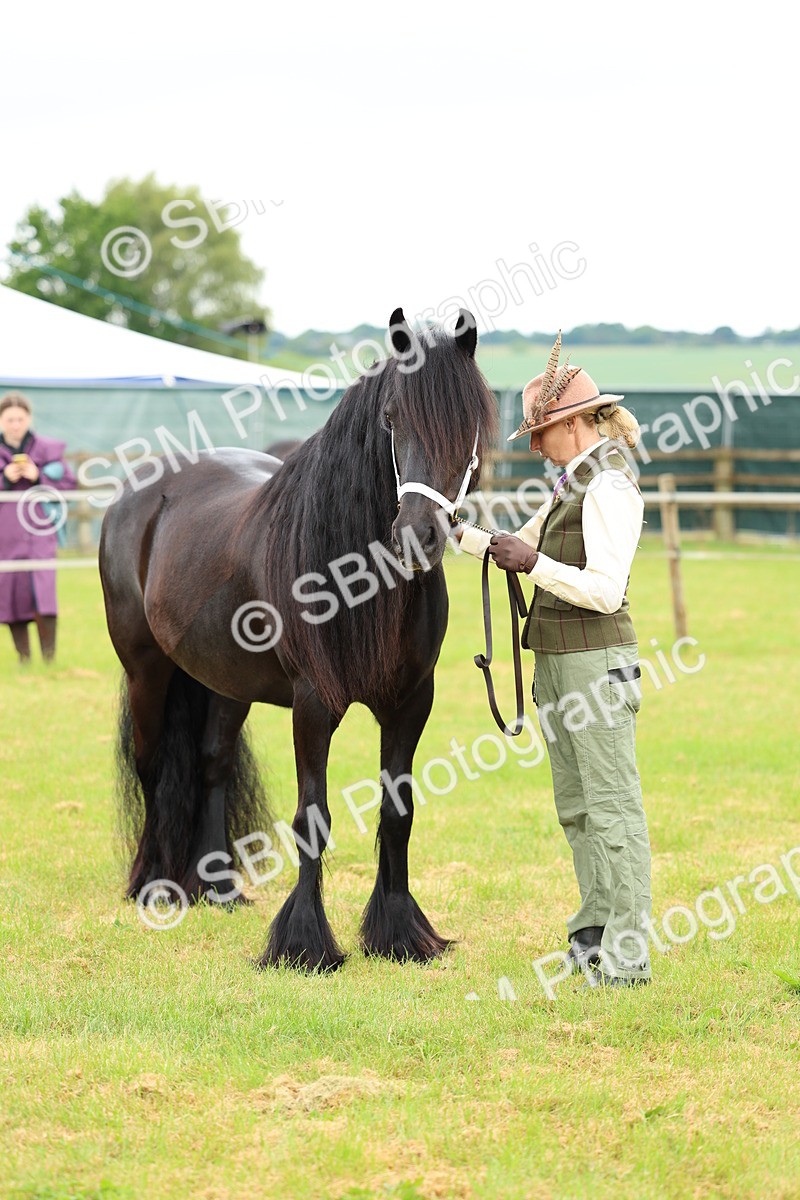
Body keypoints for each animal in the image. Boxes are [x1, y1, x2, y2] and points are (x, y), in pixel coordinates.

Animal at [99, 308, 498, 971]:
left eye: (469, 423)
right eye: (391, 417)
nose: (418, 536)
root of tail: (139, 492)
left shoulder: (411, 702)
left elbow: (398, 811)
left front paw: (398, 934)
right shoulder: (314, 704)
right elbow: (313, 816)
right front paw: (306, 944)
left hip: (224, 682)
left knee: (211, 763)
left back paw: (220, 889)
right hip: (147, 669)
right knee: (152, 765)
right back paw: (155, 887)